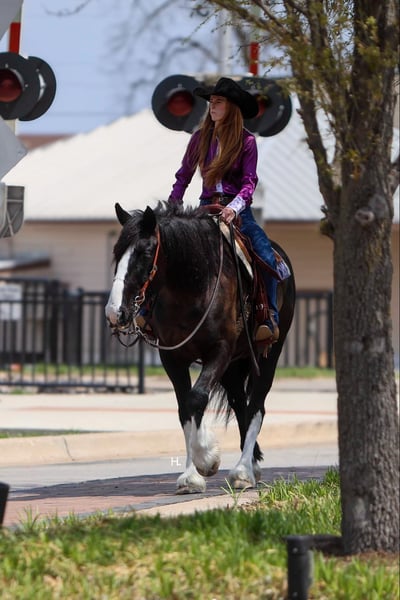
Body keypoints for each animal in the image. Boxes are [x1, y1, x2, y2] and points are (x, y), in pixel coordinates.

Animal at [105, 201, 296, 494]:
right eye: (117, 253)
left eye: (145, 253)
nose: (115, 312)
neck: (192, 289)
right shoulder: (172, 357)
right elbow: (185, 406)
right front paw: (190, 476)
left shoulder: (219, 350)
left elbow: (196, 397)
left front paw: (206, 458)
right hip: (233, 367)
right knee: (239, 404)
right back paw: (251, 465)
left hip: (268, 353)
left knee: (256, 406)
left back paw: (243, 471)